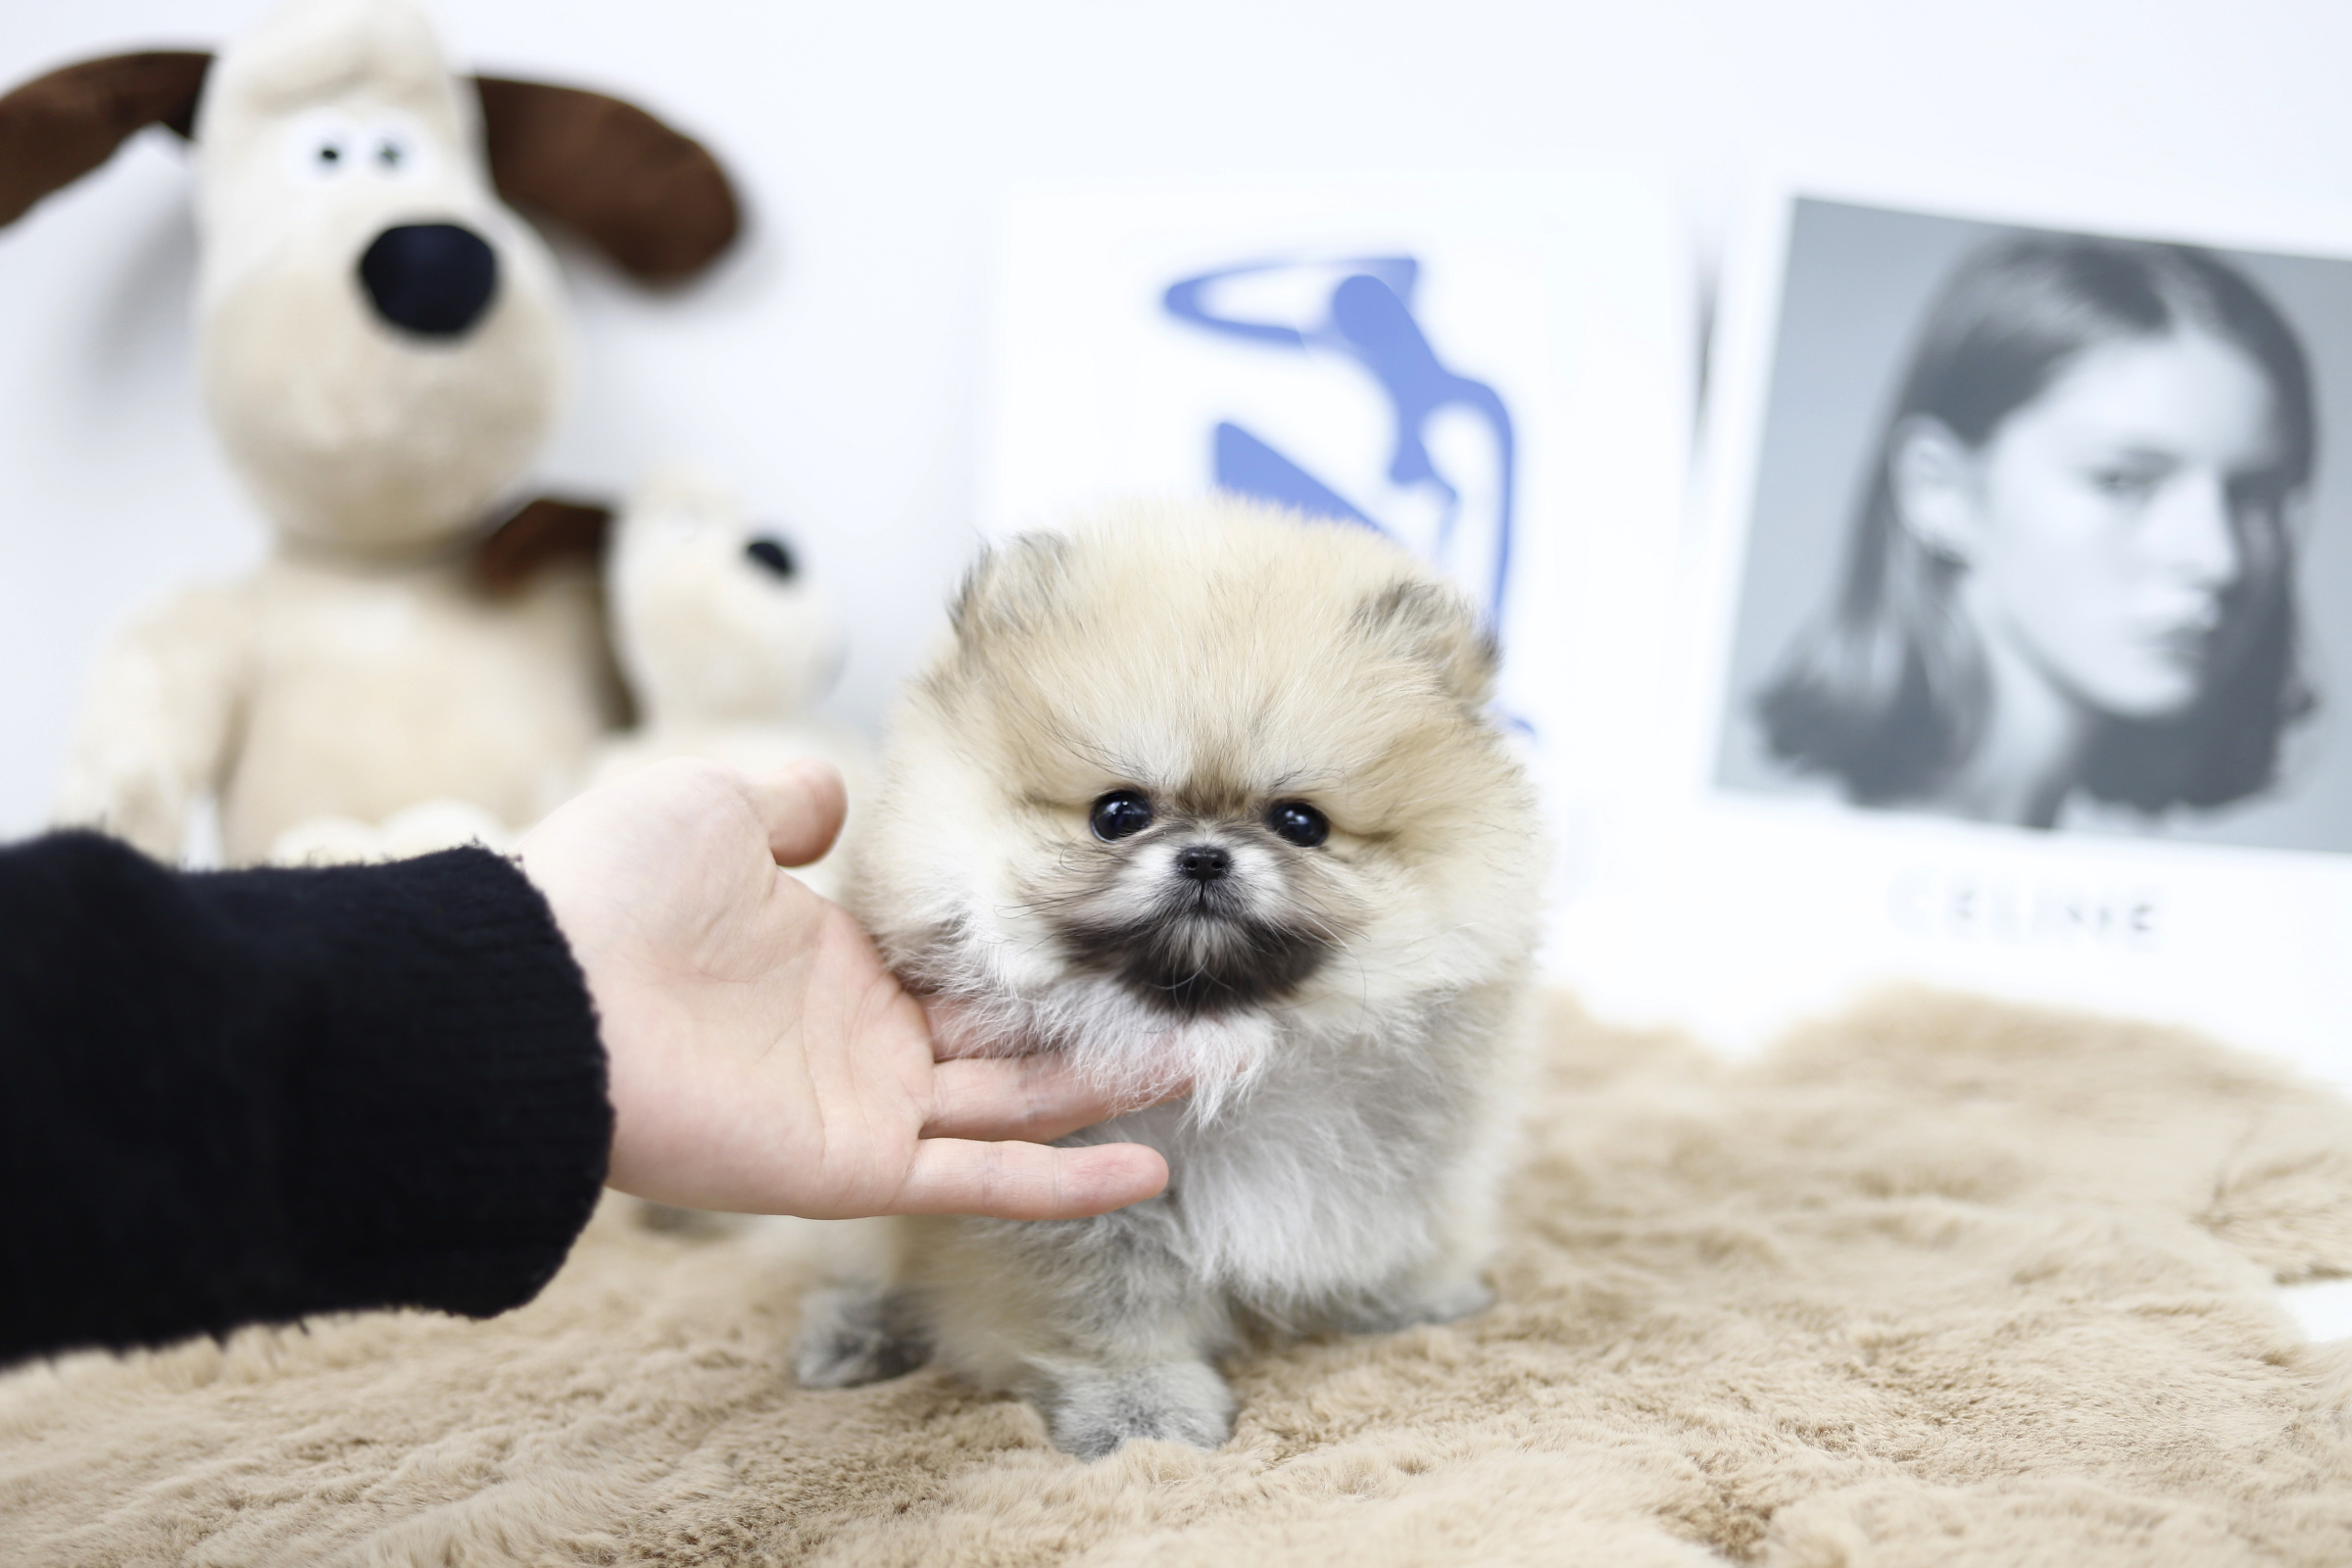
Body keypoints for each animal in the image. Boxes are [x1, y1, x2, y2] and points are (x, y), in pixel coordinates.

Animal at [800, 500, 1552, 1457]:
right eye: (1118, 813)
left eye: (1300, 822)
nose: (1203, 856)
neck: (1225, 1040)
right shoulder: (1079, 1199)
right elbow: (1107, 1315)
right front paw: (1140, 1413)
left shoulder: (1400, 1153)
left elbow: (1393, 1233)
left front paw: (1410, 1301)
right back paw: (855, 1333)